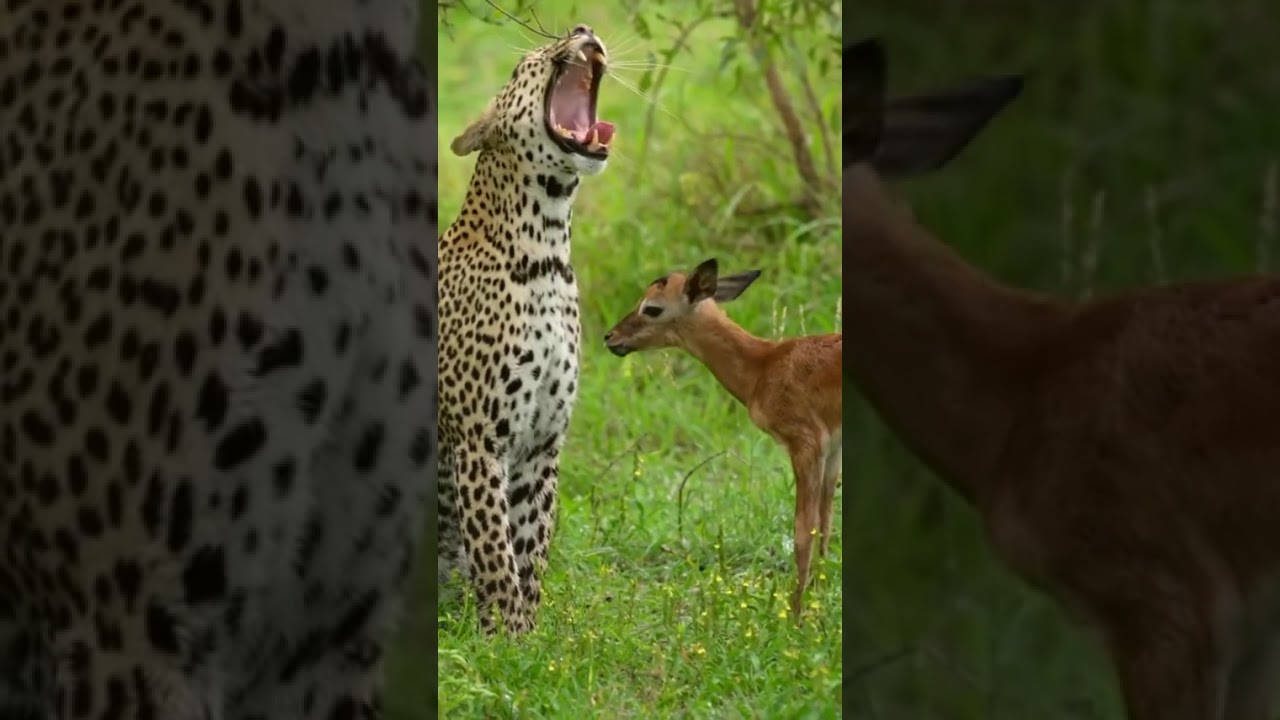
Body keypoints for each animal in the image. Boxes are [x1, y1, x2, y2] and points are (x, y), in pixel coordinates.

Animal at [437, 24, 617, 637]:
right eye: (529, 62)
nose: (584, 30)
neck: (546, 251)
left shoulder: (542, 440)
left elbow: (530, 544)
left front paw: (530, 638)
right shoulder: (477, 441)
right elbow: (495, 550)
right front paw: (506, 638)